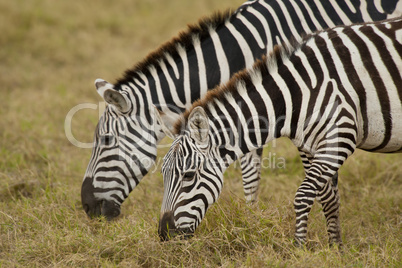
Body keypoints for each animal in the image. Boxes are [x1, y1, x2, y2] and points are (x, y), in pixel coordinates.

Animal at [157, 17, 402, 247]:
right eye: (163, 175)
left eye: (189, 175)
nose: (164, 234)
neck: (297, 93)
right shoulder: (311, 147)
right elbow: (328, 198)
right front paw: (336, 248)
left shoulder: (340, 136)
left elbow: (303, 195)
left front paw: (299, 248)